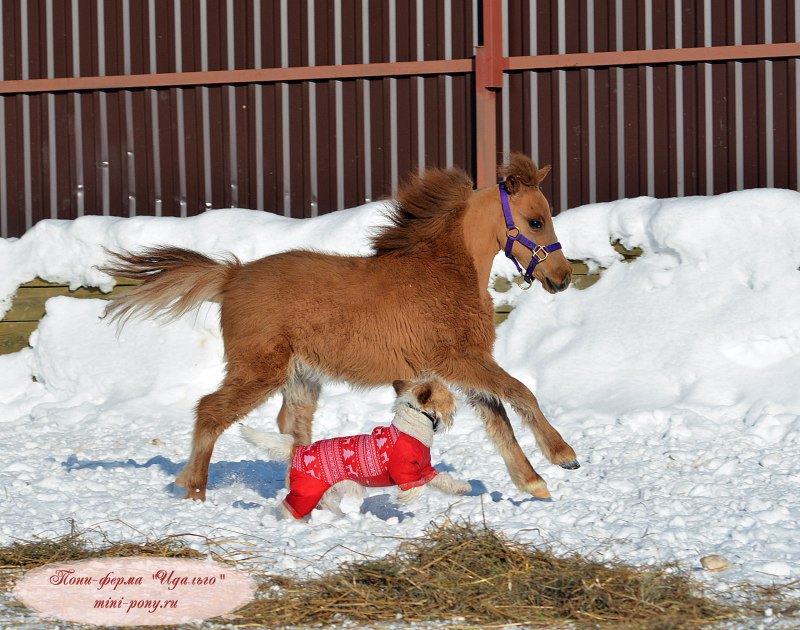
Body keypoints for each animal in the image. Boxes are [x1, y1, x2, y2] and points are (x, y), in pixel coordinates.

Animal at [101, 154, 576, 504]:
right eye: (536, 221)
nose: (563, 277)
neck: (443, 272)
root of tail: (231, 276)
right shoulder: (460, 359)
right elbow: (520, 393)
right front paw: (563, 456)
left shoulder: (463, 364)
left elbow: (499, 417)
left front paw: (532, 482)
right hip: (258, 370)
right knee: (211, 411)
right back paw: (194, 490)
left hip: (300, 379)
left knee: (292, 429)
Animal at [241, 378, 472, 520]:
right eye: (447, 397)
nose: (458, 401)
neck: (412, 427)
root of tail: (297, 449)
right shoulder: (405, 472)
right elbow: (416, 488)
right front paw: (401, 499)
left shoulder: (425, 469)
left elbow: (443, 480)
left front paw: (462, 487)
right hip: (307, 492)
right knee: (288, 507)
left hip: (324, 494)